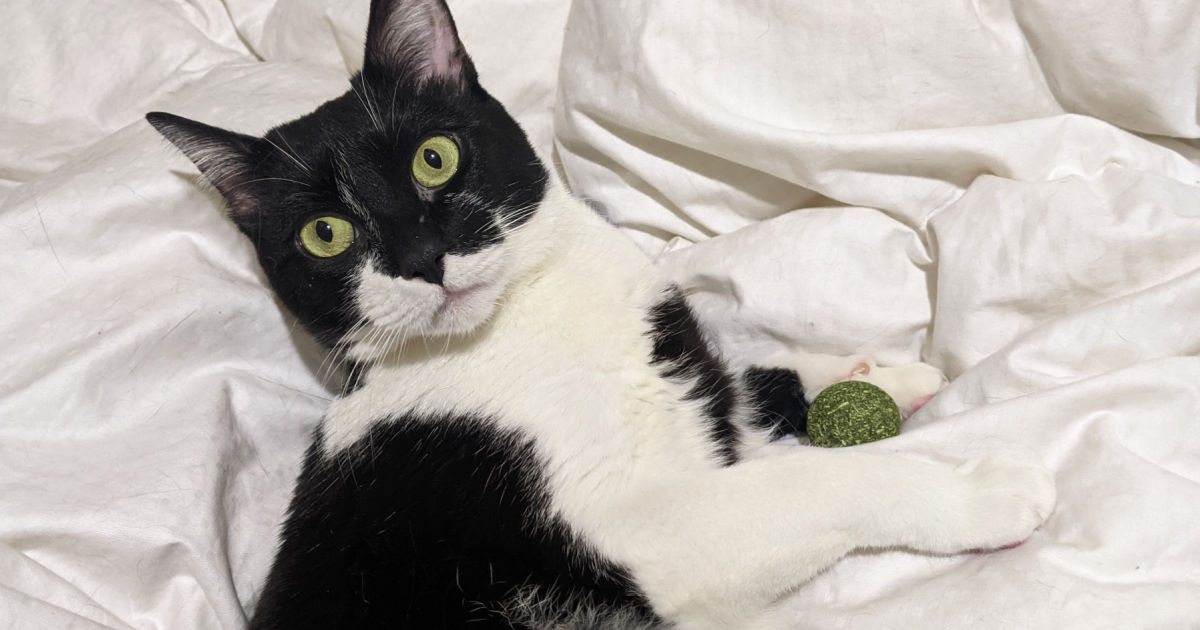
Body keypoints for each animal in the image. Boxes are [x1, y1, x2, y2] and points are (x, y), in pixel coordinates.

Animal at [145, 2, 1056, 624]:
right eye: (326, 234)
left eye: (434, 158)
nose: (420, 259)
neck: (532, 319)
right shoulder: (642, 536)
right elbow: (811, 481)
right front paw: (982, 492)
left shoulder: (681, 370)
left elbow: (737, 386)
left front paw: (881, 375)